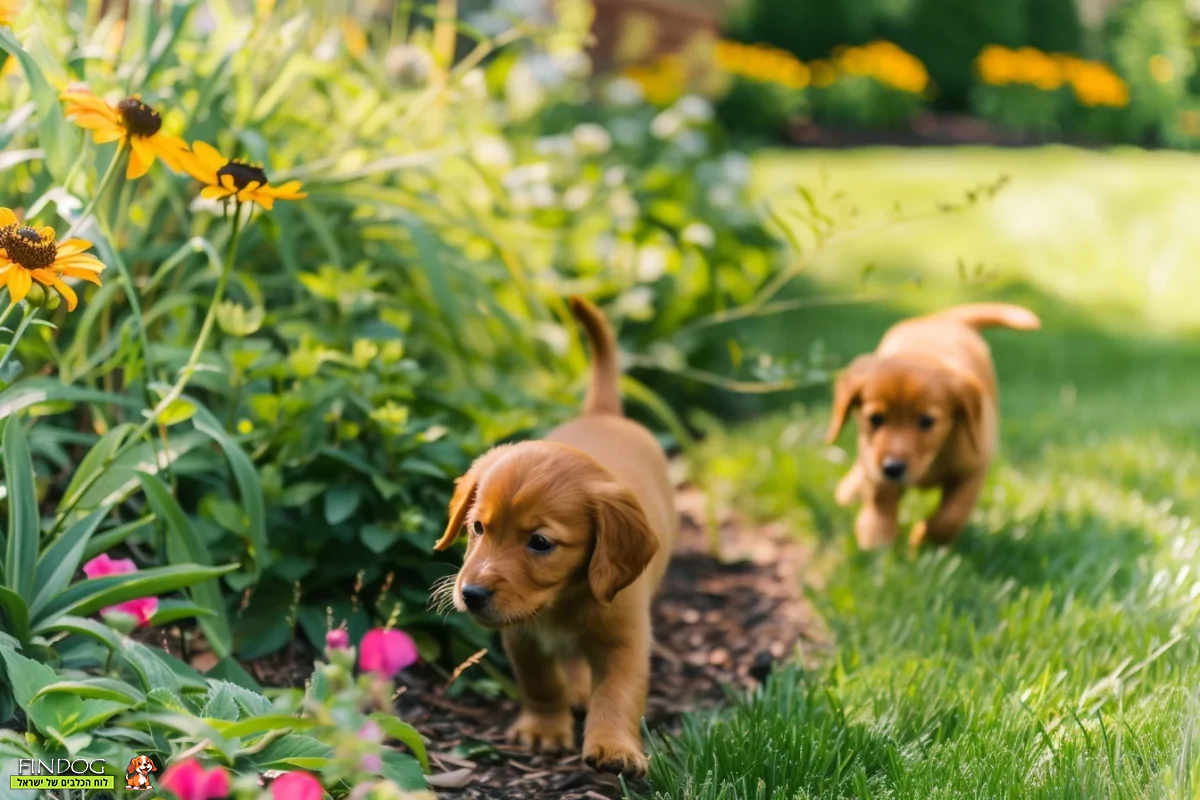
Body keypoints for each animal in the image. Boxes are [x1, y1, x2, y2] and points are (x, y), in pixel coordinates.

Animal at [432, 293, 676, 777]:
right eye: (478, 527)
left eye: (541, 543)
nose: (471, 594)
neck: (562, 602)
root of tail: (604, 414)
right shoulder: (521, 637)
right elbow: (541, 682)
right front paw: (545, 730)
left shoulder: (626, 639)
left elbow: (618, 692)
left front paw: (614, 748)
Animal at [825, 302, 1041, 551]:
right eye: (875, 419)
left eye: (927, 421)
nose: (893, 468)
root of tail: (944, 319)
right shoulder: (877, 462)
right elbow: (881, 500)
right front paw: (876, 540)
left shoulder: (973, 469)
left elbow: (951, 517)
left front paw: (922, 538)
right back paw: (849, 490)